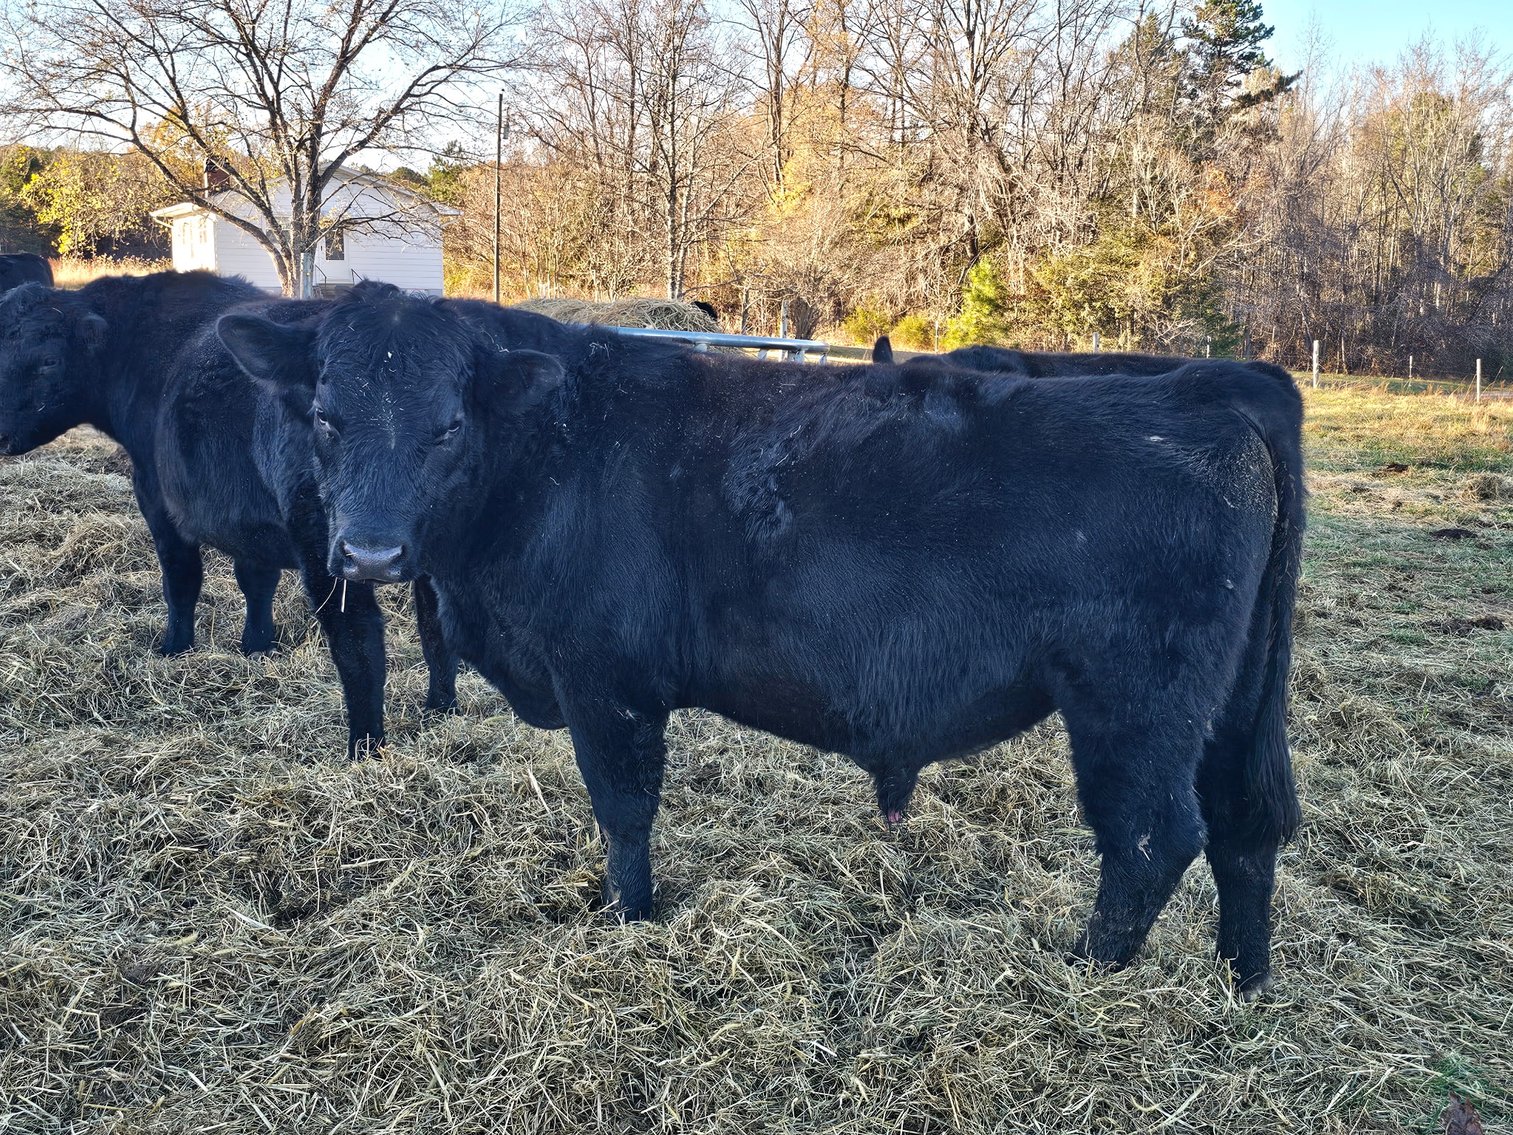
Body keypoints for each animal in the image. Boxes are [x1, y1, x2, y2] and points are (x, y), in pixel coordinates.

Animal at [0, 271, 458, 755]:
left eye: (48, 361)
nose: (1, 434)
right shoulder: (250, 523)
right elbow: (256, 581)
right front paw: (257, 646)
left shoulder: (158, 500)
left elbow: (181, 581)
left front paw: (175, 648)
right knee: (435, 620)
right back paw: (440, 708)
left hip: (333, 548)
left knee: (357, 633)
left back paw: (363, 747)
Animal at [219, 284, 1305, 994]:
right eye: (324, 414)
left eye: (447, 424)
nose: (368, 549)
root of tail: (1214, 389)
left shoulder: (602, 678)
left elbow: (623, 809)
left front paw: (629, 918)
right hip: (1226, 703)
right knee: (1244, 826)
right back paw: (1238, 982)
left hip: (1133, 701)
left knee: (1150, 837)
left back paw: (1085, 979)